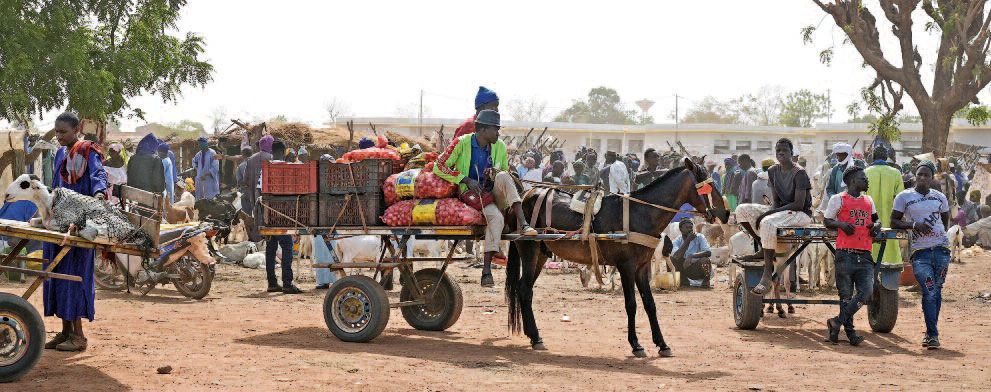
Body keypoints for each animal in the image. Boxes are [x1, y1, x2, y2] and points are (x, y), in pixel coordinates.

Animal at [508, 158, 732, 356]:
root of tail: (525, 195)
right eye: (709, 186)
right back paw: (535, 337)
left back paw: (532, 335)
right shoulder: (626, 266)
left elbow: (650, 304)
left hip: (540, 254)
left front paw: (662, 344)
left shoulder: (642, 267)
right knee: (525, 290)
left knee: (524, 289)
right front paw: (636, 345)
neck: (640, 213)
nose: (726, 213)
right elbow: (631, 304)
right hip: (529, 250)